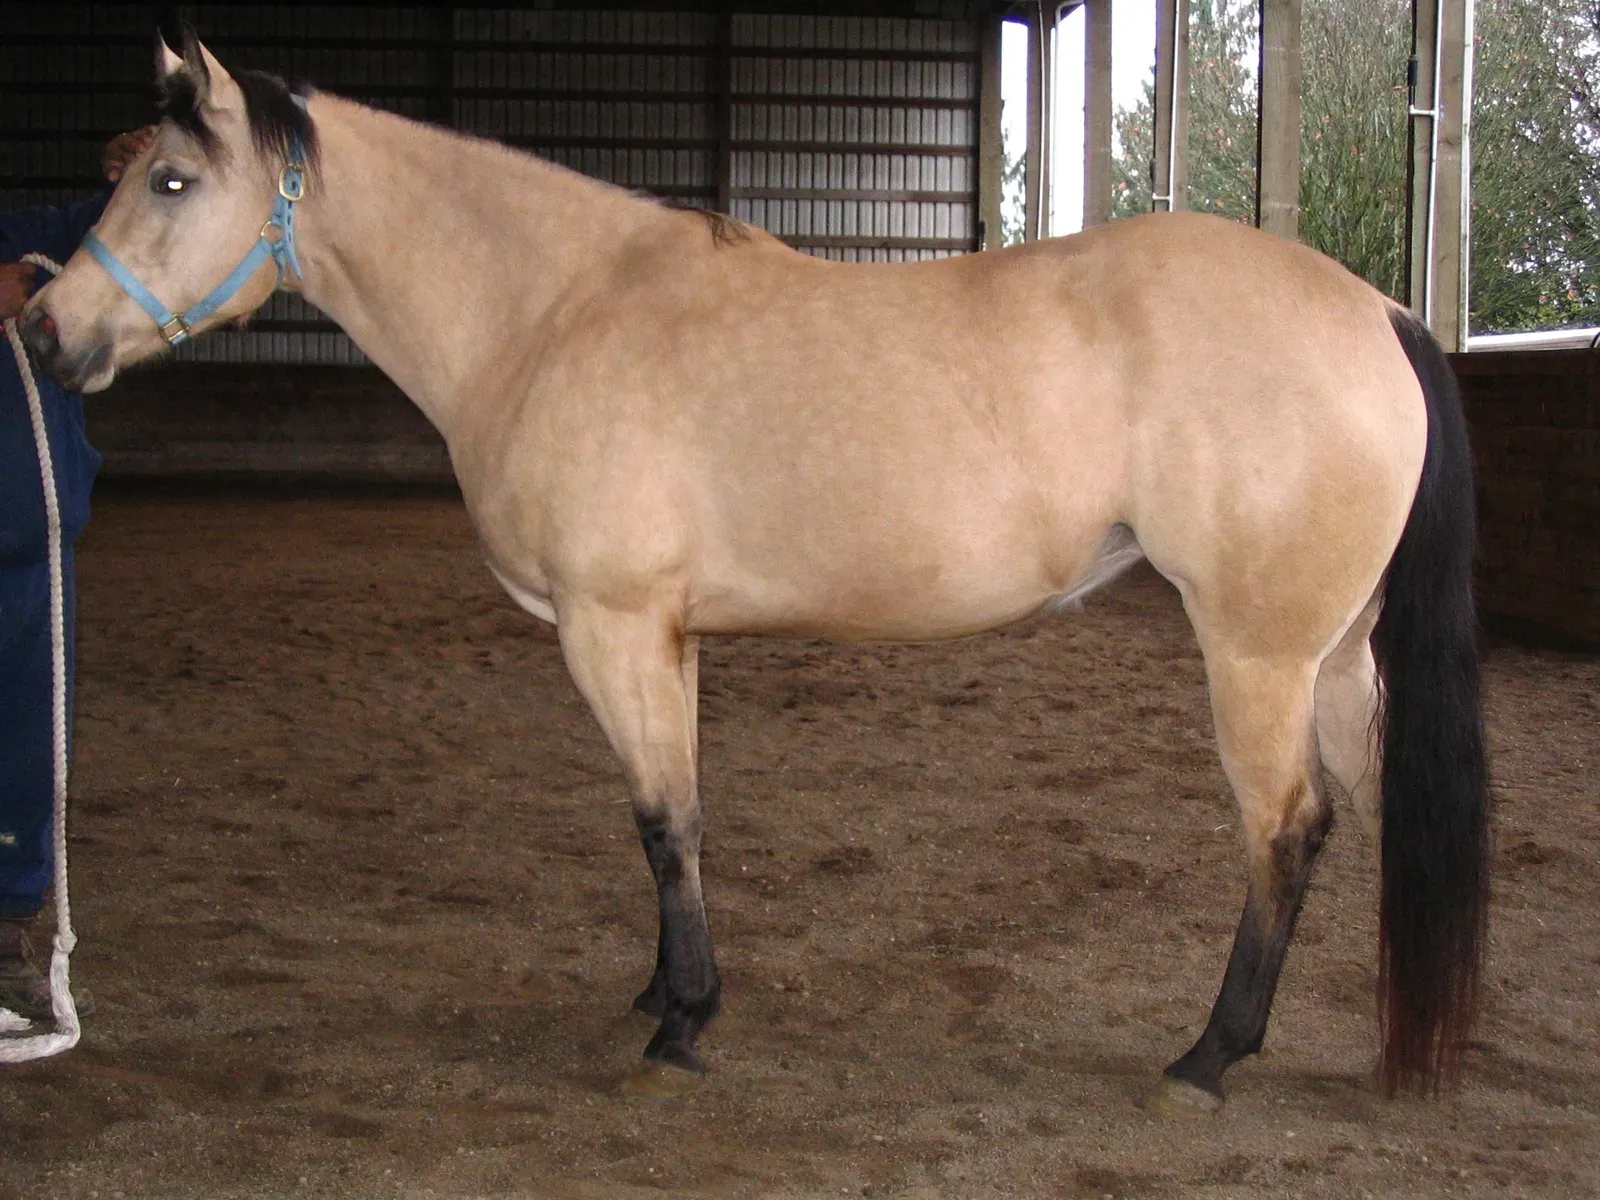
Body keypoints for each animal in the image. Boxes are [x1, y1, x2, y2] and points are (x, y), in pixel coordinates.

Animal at [24, 32, 1488, 1116]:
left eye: (167, 182)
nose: (42, 328)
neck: (554, 311)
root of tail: (1377, 310)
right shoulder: (665, 637)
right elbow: (677, 813)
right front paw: (659, 992)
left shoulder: (613, 628)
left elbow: (663, 821)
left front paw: (680, 1026)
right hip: (1335, 656)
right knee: (1358, 820)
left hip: (1258, 653)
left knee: (1284, 830)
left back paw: (1208, 1056)